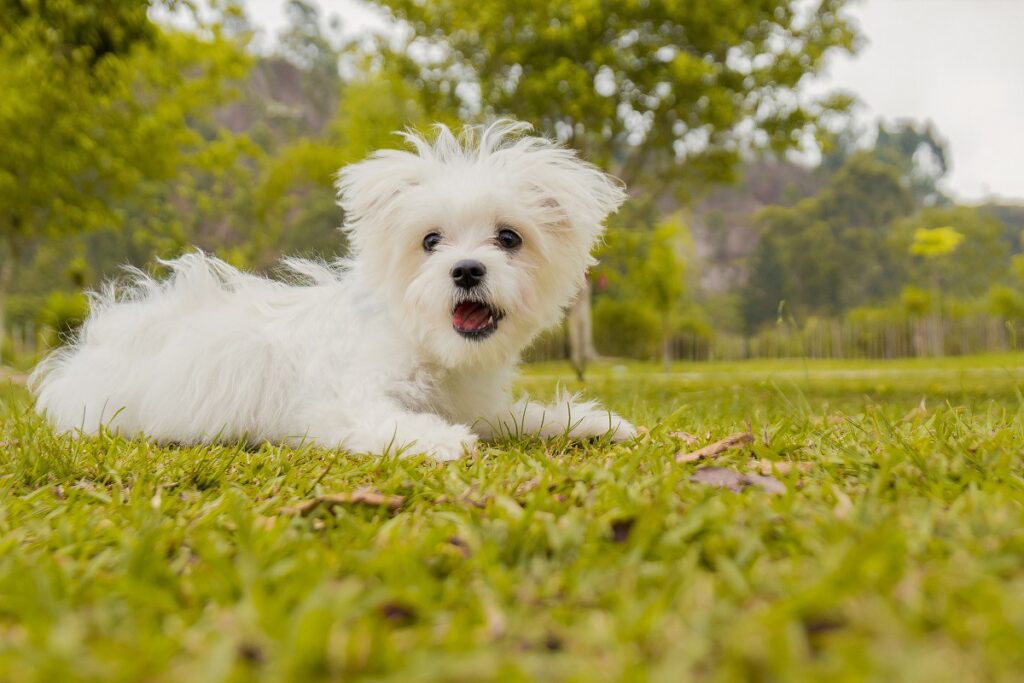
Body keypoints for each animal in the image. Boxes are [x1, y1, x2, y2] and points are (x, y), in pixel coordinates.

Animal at [29, 118, 630, 458]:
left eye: (509, 238)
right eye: (430, 241)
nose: (465, 271)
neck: (426, 344)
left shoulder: (476, 405)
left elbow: (519, 416)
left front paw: (592, 422)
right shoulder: (340, 401)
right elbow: (381, 419)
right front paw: (435, 439)